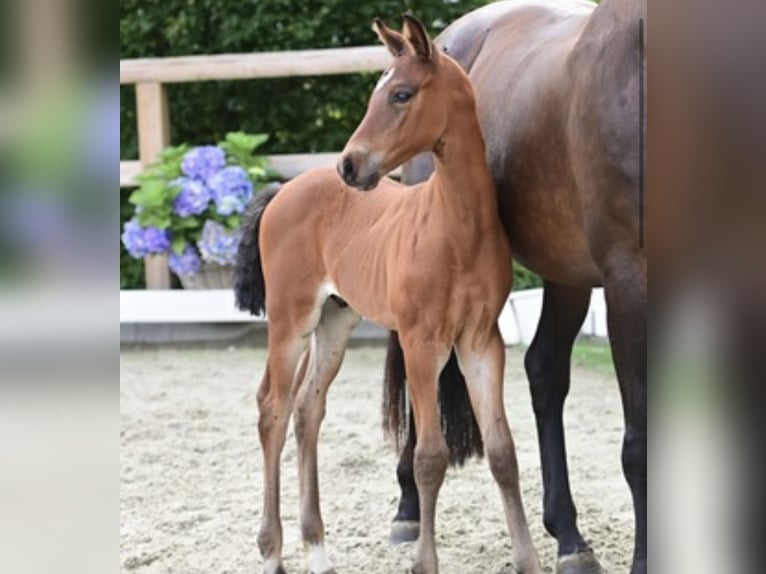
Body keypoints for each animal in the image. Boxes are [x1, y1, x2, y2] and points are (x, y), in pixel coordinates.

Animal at [237, 14, 544, 574]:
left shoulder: (480, 342)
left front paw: (528, 560)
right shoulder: (421, 343)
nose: (349, 166)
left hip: (335, 320)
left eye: (401, 94)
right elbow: (429, 457)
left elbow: (503, 451)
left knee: (307, 408)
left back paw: (317, 549)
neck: (458, 226)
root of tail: (284, 191)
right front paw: (425, 562)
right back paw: (272, 552)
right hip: (291, 319)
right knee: (273, 407)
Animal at [384, 1, 648, 574]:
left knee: (544, 369)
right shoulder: (627, 283)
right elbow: (640, 441)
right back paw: (408, 508)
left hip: (567, 275)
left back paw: (568, 536)